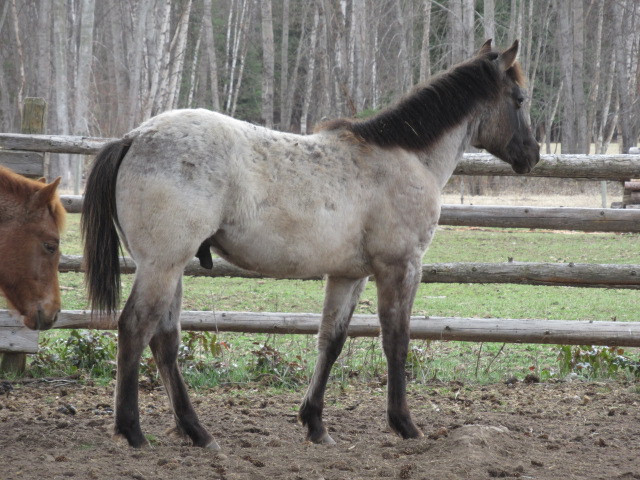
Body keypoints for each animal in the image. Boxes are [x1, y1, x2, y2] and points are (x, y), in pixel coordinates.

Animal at [81, 39, 540, 448]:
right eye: (519, 99)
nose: (532, 155)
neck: (405, 157)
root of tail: (135, 136)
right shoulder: (401, 267)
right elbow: (396, 341)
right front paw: (404, 424)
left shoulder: (349, 275)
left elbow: (330, 341)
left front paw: (315, 423)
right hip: (162, 265)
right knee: (135, 328)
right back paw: (134, 432)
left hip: (171, 267)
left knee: (164, 340)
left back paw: (197, 432)